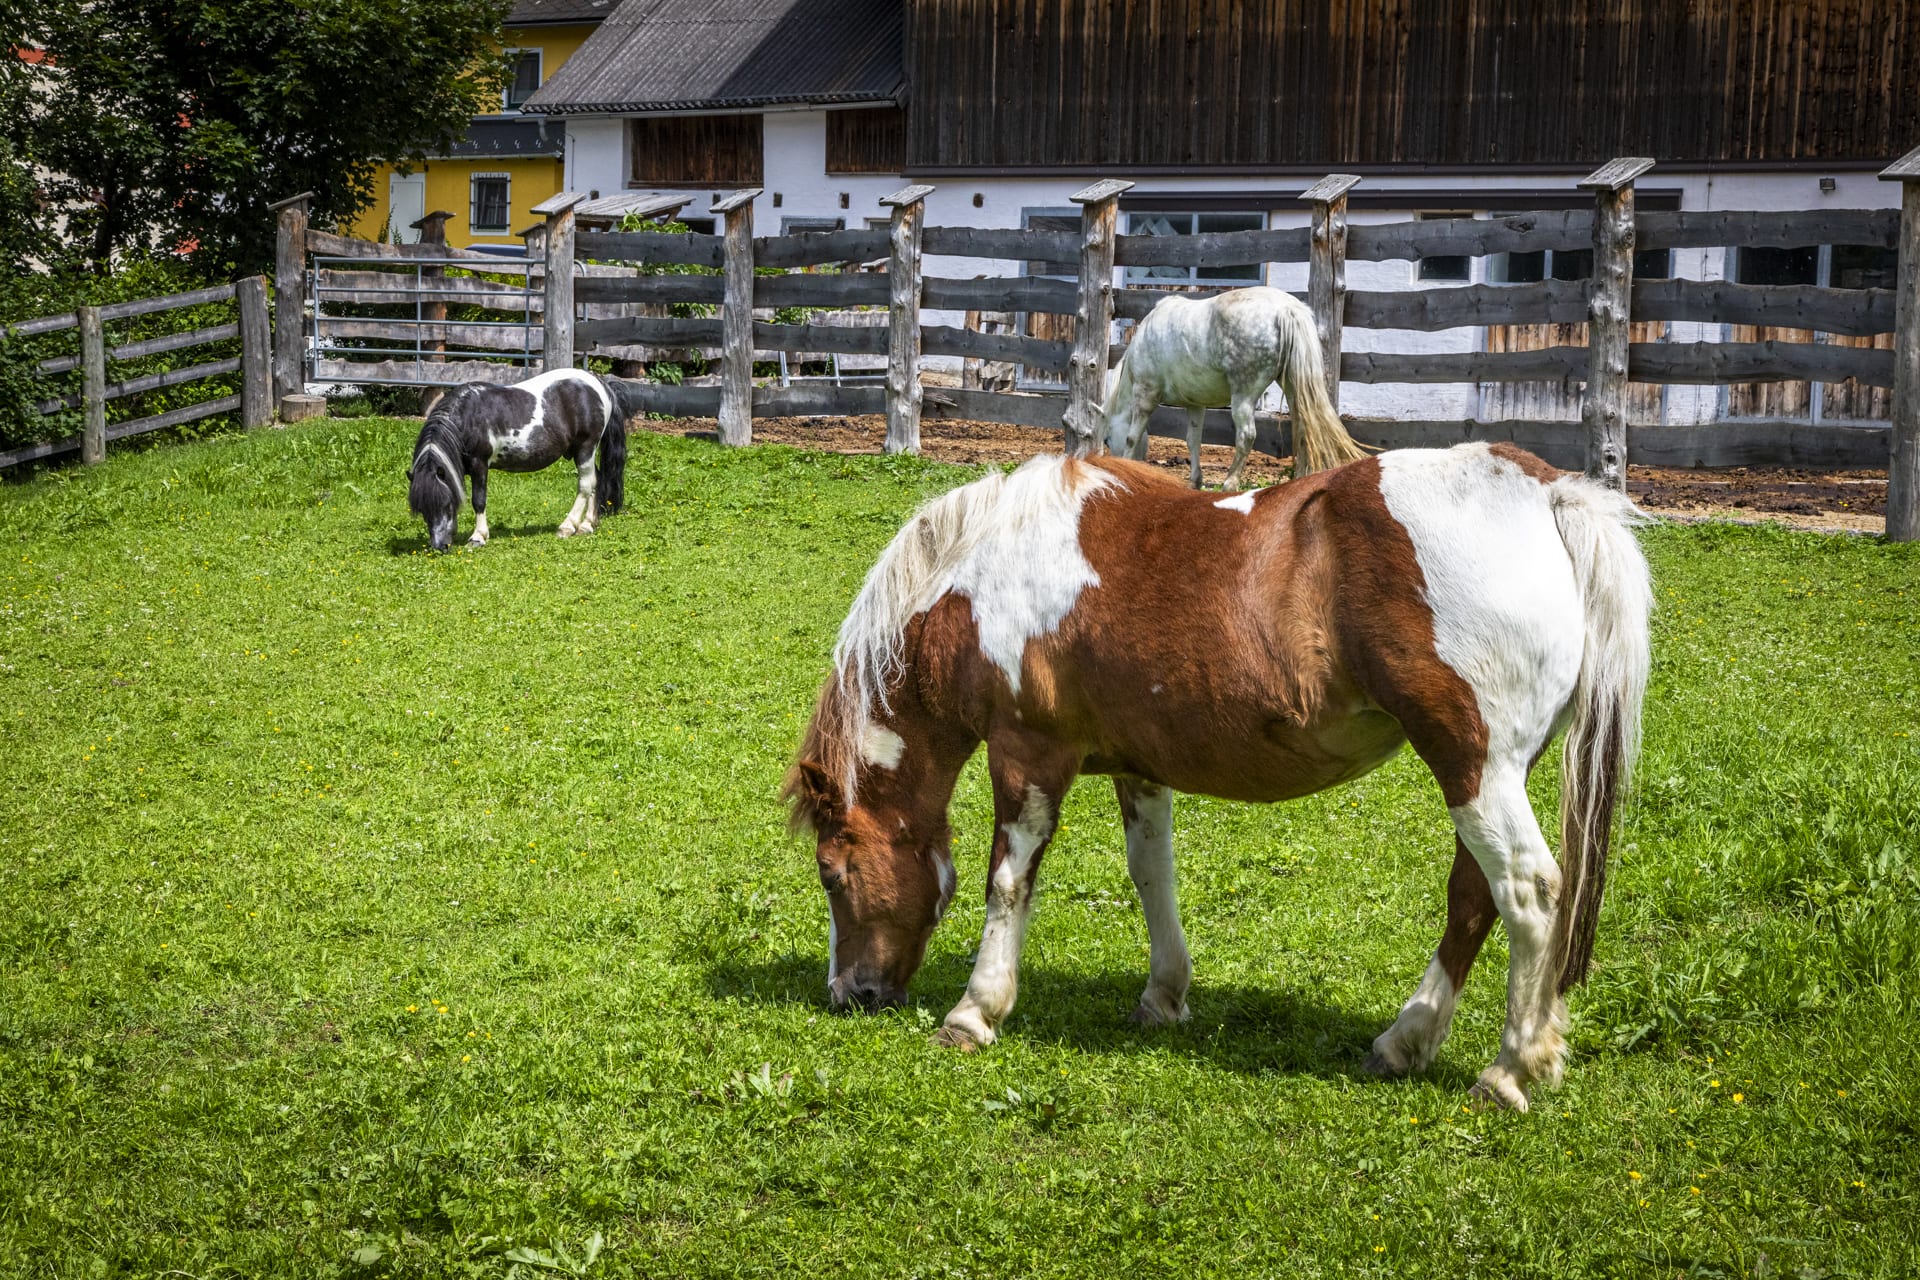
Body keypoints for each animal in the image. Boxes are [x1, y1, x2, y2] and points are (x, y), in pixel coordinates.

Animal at [406, 367, 626, 552]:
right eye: (422, 509)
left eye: (445, 503)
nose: (440, 546)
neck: (467, 417)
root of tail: (599, 383)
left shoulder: (479, 464)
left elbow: (479, 500)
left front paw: (478, 537)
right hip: (582, 452)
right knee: (596, 481)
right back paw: (587, 525)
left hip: (586, 448)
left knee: (585, 485)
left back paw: (567, 527)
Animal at [785, 443, 1652, 1111]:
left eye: (831, 874)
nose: (850, 994)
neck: (987, 575)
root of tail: (1545, 493)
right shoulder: (1138, 767)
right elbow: (1151, 874)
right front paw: (1164, 995)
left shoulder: (1028, 752)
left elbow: (1008, 882)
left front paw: (975, 1011)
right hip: (1489, 775)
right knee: (1476, 897)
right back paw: (1406, 1041)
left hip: (1474, 767)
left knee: (1529, 892)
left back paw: (1510, 1070)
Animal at [1102, 286, 1366, 490]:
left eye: (1106, 440)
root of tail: (1287, 309)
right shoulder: (1195, 405)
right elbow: (1193, 440)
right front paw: (1195, 482)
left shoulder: (1145, 395)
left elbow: (1131, 437)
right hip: (1293, 388)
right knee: (1303, 431)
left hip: (1244, 395)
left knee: (1246, 436)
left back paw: (1229, 485)